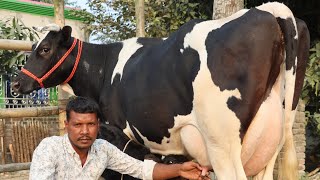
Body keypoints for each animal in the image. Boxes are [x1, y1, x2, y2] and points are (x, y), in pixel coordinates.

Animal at [13, 2, 310, 180]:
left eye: (45, 49)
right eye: (32, 47)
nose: (17, 84)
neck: (105, 68)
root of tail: (269, 10)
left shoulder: (118, 132)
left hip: (222, 142)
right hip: (273, 137)